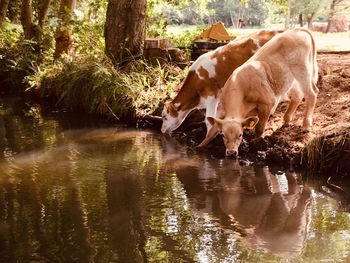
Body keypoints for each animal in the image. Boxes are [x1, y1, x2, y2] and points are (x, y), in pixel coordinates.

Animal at [198, 28, 318, 157]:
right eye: (223, 135)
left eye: (240, 135)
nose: (231, 152)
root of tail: (297, 30)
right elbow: (211, 131)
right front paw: (200, 145)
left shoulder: (267, 103)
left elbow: (260, 128)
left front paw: (256, 144)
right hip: (291, 78)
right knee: (298, 95)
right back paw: (287, 120)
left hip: (302, 70)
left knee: (312, 93)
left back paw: (306, 125)